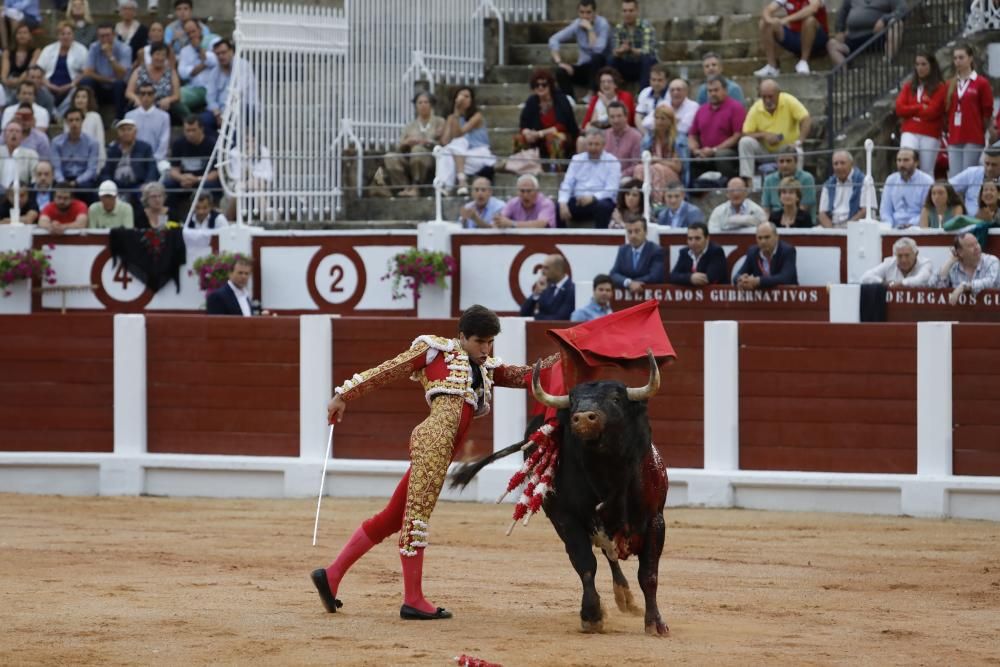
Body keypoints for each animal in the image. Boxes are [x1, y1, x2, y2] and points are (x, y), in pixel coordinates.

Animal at [454, 354, 672, 636]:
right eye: (574, 400)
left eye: (616, 398)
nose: (584, 418)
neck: (607, 473)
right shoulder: (566, 518)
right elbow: (585, 563)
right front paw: (591, 615)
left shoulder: (655, 519)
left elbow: (648, 574)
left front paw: (655, 623)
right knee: (606, 555)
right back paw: (622, 596)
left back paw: (626, 598)